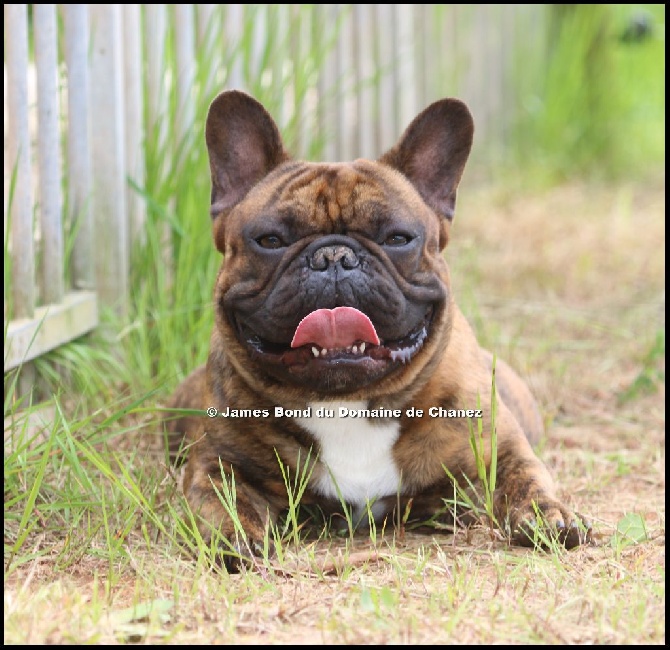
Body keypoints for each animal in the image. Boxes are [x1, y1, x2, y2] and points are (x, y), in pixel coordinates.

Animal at [165, 88, 592, 564]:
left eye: (397, 238)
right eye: (271, 240)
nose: (334, 256)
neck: (346, 403)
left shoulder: (501, 449)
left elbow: (526, 478)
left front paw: (549, 515)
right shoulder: (216, 462)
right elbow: (221, 496)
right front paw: (233, 532)